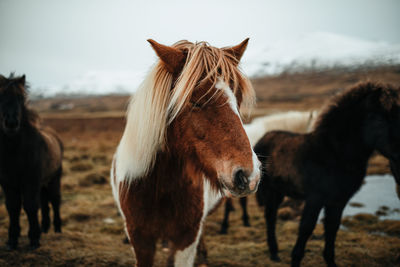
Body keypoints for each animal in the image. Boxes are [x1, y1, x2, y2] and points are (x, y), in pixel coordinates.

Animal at [0, 74, 63, 251]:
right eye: (1, 96)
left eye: (21, 97)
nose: (11, 123)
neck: (15, 151)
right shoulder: (8, 183)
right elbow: (13, 207)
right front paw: (12, 240)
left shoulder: (31, 181)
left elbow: (30, 206)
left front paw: (34, 239)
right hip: (43, 183)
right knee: (45, 202)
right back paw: (45, 228)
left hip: (54, 179)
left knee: (55, 201)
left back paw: (57, 228)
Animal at [110, 38, 260, 266]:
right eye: (195, 101)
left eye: (238, 97)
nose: (248, 175)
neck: (159, 188)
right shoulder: (140, 239)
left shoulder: (186, 239)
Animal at [255, 82, 400, 266]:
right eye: (380, 118)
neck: (333, 154)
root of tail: (262, 139)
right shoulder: (315, 199)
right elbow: (306, 228)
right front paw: (295, 259)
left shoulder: (338, 201)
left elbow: (332, 229)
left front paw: (330, 260)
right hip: (271, 191)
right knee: (270, 216)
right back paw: (274, 252)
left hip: (279, 191)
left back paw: (274, 252)